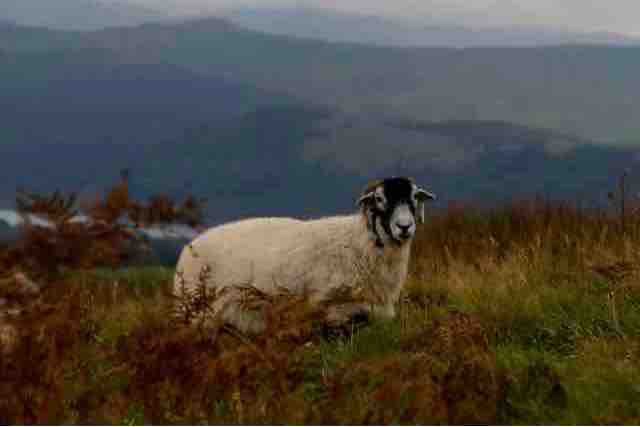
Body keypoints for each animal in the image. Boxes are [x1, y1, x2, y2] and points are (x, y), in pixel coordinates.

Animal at [172, 177, 438, 334]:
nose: (404, 226)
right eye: (380, 199)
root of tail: (189, 247)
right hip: (197, 311)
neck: (361, 241)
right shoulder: (329, 302)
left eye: (414, 197)